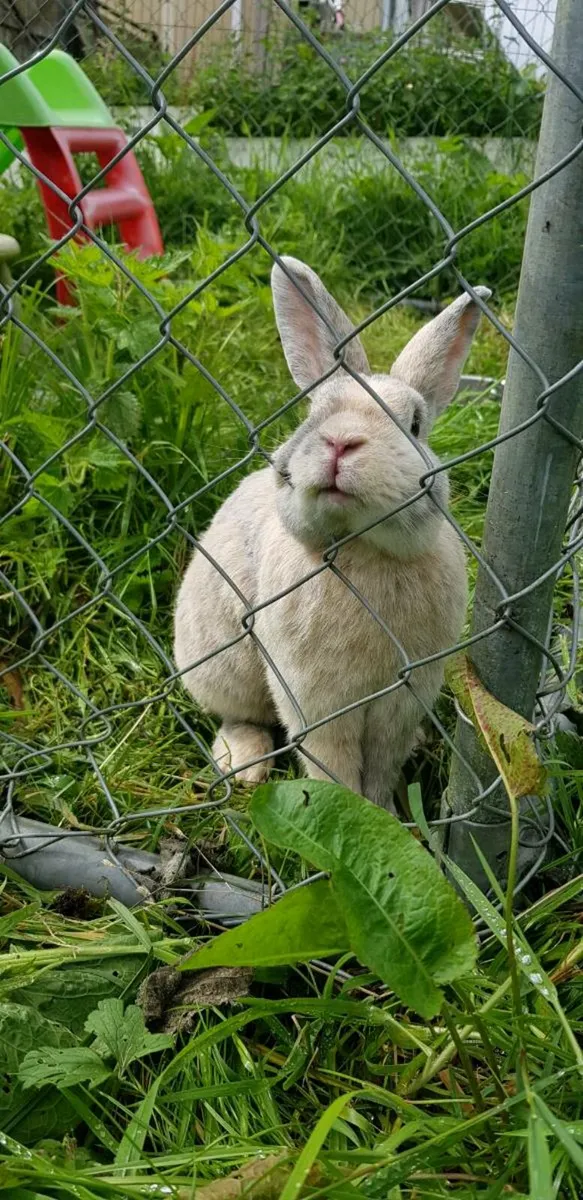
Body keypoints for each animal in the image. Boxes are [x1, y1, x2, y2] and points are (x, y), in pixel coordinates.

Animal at [174, 257, 490, 807]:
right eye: (315, 412)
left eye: (414, 423)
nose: (341, 442)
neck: (359, 546)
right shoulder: (313, 701)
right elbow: (332, 765)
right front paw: (341, 807)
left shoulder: (400, 701)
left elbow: (382, 764)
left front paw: (384, 812)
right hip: (219, 666)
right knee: (239, 714)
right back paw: (242, 764)